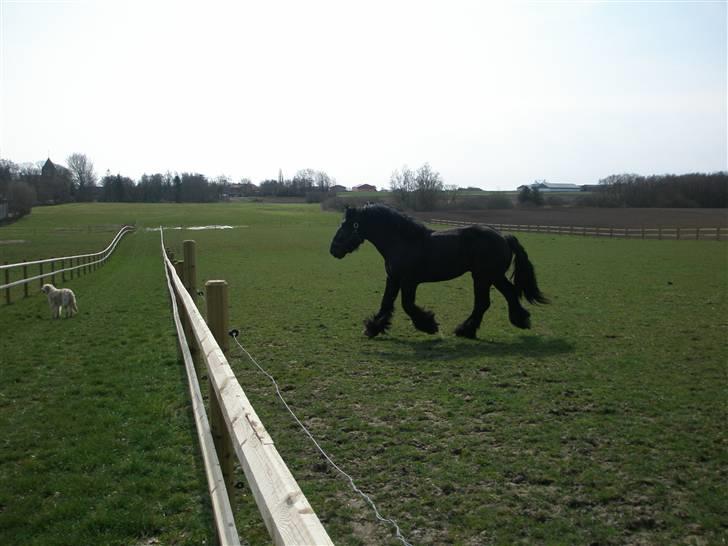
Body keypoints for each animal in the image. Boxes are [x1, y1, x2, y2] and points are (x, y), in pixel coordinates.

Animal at [328, 204, 544, 338]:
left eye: (347, 225)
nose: (333, 249)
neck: (402, 241)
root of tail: (504, 236)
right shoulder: (393, 278)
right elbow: (386, 304)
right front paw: (373, 328)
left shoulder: (408, 281)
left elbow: (407, 305)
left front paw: (429, 325)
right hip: (493, 276)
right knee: (508, 294)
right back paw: (519, 320)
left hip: (483, 277)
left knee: (483, 303)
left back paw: (465, 330)